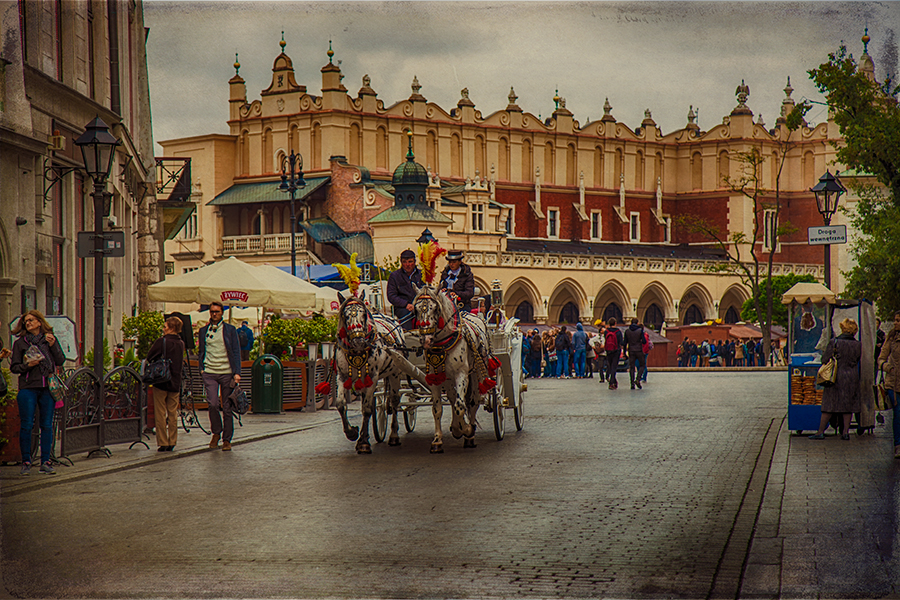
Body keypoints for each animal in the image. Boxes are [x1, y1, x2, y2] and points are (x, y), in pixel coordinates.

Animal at [332, 292, 428, 454]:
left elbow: (367, 409)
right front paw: (352, 433)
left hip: (395, 374)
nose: (358, 341)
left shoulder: (373, 377)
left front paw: (363, 443)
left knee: (394, 401)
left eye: (364, 314)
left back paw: (394, 436)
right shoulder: (343, 376)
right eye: (345, 315)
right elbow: (340, 404)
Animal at [410, 284, 496, 452]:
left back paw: (470, 434)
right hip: (448, 378)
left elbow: (460, 405)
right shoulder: (434, 378)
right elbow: (437, 408)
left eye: (436, 309)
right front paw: (438, 440)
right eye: (415, 309)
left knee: (473, 402)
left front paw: (465, 429)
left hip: (475, 373)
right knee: (452, 397)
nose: (426, 340)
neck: (443, 342)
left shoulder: (461, 374)